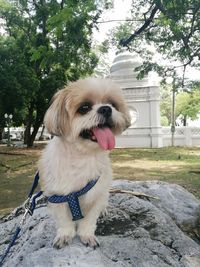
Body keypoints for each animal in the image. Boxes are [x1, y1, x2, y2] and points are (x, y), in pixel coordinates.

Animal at [38, 77, 131, 249]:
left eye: (113, 104)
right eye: (84, 107)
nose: (106, 109)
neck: (82, 156)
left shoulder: (98, 194)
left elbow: (89, 220)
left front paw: (87, 235)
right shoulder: (57, 196)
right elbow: (64, 221)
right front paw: (65, 235)